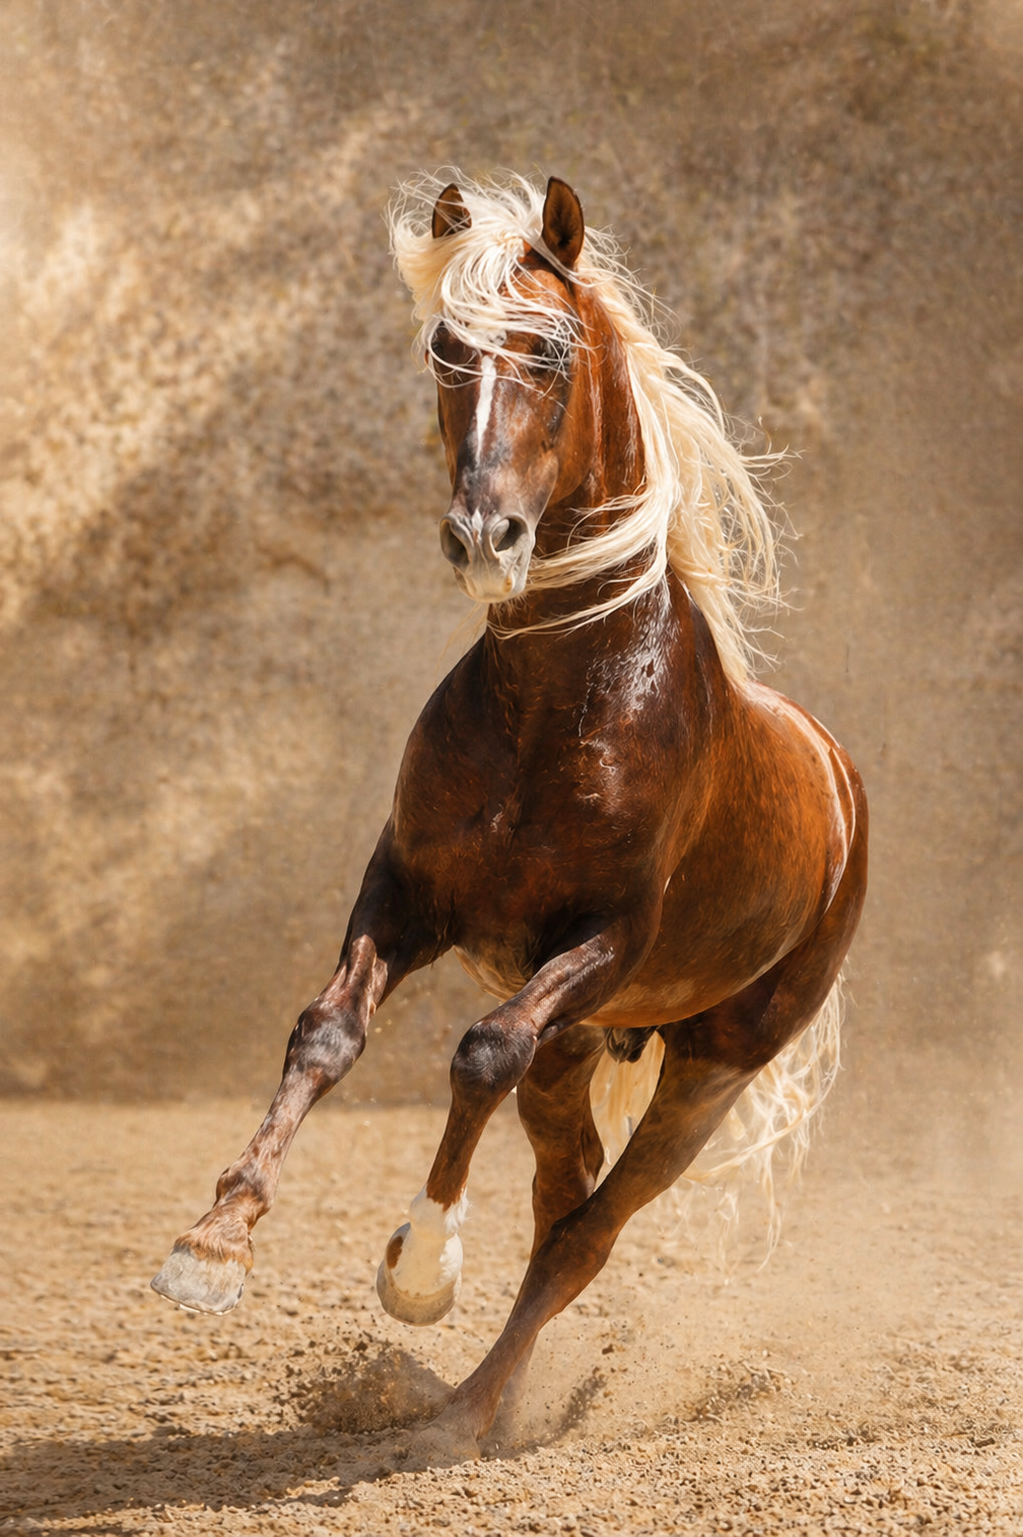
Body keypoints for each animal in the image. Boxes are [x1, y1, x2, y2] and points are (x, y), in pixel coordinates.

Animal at [151, 172, 868, 1461]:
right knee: (561, 1192)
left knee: (589, 1227)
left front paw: (418, 1267)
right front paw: (212, 1244)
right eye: (445, 349)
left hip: (711, 1068)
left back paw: (465, 1413)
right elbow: (325, 1035)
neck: (560, 699)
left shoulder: (602, 943)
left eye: (547, 350)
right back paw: (479, 1398)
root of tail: (839, 780)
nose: (484, 537)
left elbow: (477, 1051)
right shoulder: (406, 890)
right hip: (581, 1048)